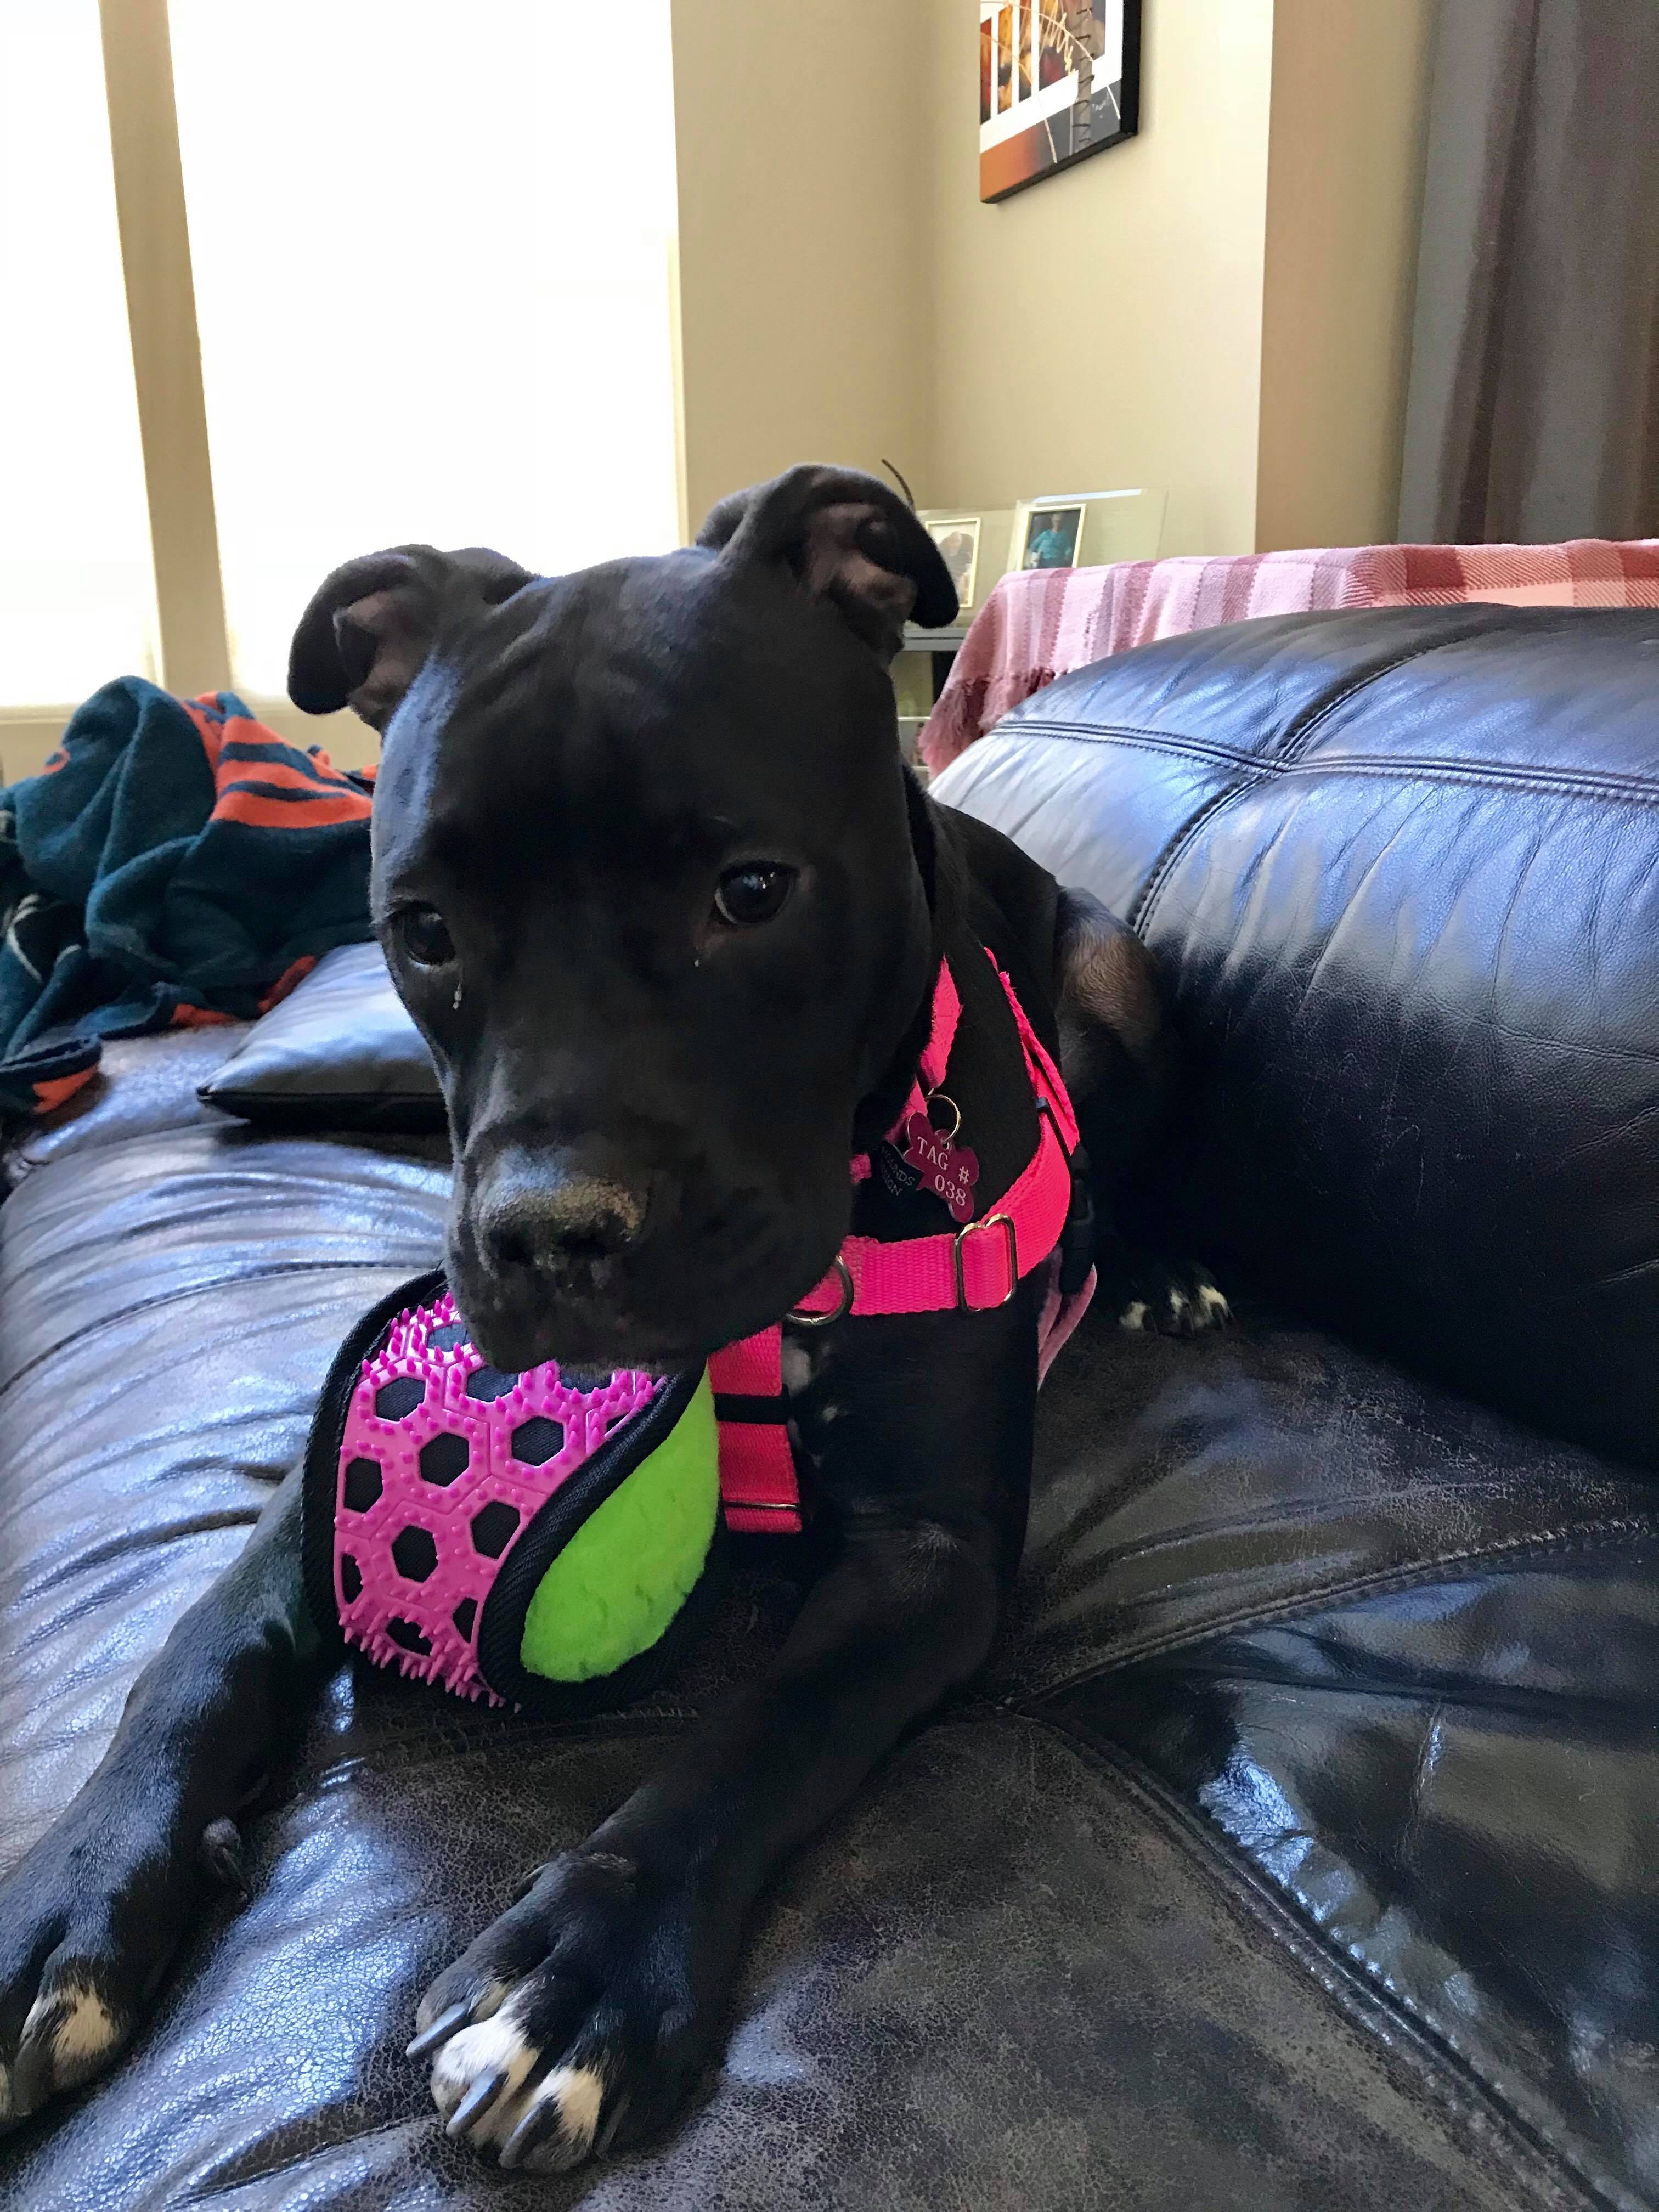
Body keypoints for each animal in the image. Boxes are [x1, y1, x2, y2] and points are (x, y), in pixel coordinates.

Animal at [0, 466, 1223, 2170]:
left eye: (750, 891)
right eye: (423, 930)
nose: (543, 1234)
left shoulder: (931, 1558)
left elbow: (762, 1730)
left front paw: (580, 1972)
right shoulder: (305, 1485)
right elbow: (197, 1647)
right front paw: (72, 1891)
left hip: (1118, 968)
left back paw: (1160, 1260)